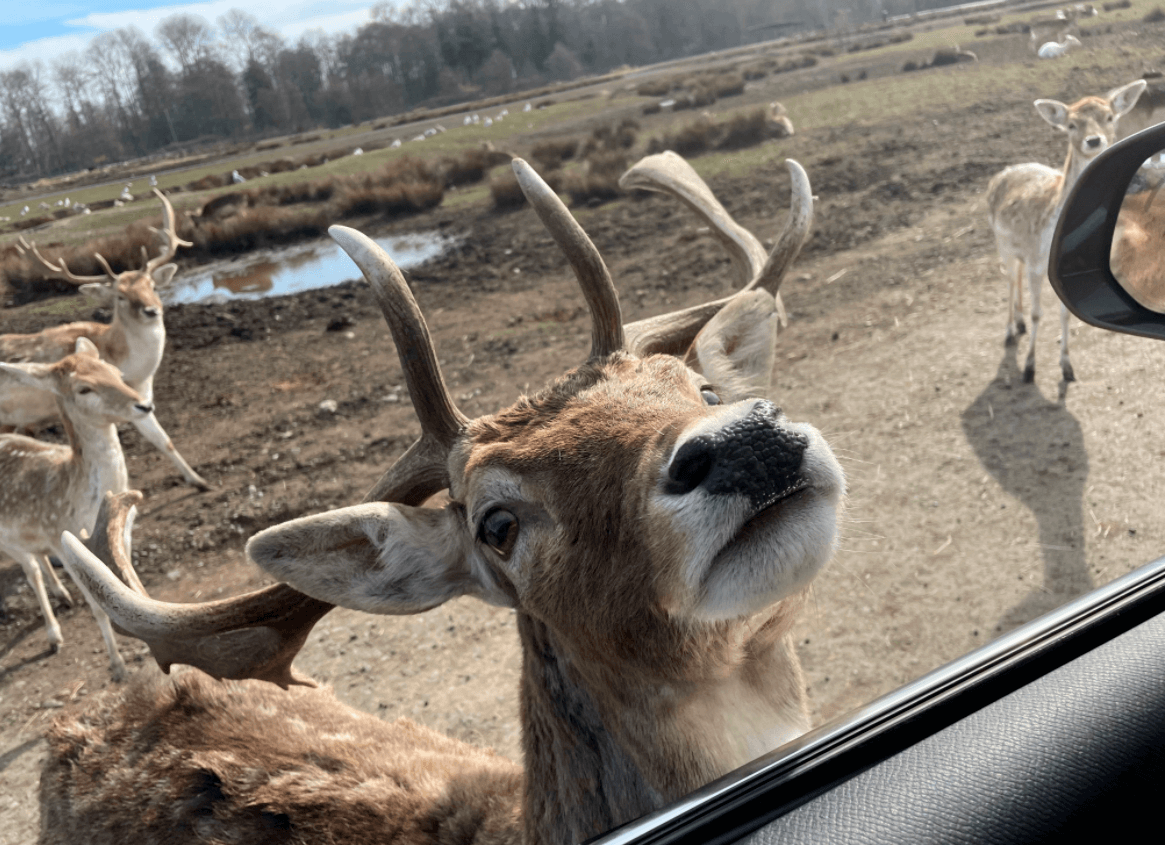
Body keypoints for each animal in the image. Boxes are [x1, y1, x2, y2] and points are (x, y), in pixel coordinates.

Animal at [1, 335, 156, 680]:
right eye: (84, 388)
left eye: (114, 371)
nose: (144, 404)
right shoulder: (67, 543)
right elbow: (98, 608)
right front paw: (117, 665)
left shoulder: (123, 536)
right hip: (8, 540)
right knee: (31, 571)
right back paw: (54, 636)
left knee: (38, 560)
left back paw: (63, 595)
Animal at [4, 184, 212, 487]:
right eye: (120, 296)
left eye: (152, 286)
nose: (152, 311)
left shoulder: (142, 396)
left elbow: (164, 440)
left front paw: (199, 480)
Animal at [983, 79, 1146, 382]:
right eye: (1071, 124)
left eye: (1109, 116)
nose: (1093, 140)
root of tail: (1001, 174)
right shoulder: (1036, 262)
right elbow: (1038, 314)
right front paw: (1029, 367)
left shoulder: (1063, 273)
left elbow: (1066, 314)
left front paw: (1067, 367)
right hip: (1002, 243)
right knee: (1010, 278)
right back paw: (1011, 330)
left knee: (1015, 277)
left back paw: (1019, 324)